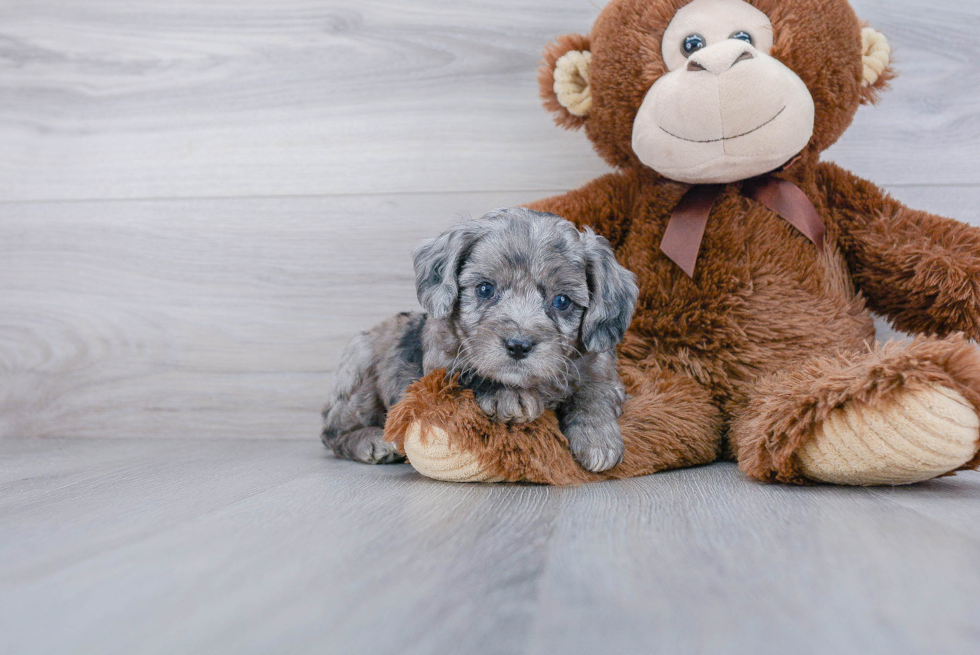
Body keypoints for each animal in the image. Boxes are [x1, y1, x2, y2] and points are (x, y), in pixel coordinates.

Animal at [322, 209, 640, 472]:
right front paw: (506, 395)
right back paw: (372, 442)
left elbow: (593, 393)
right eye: (485, 289)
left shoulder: (603, 371)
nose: (518, 345)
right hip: (360, 370)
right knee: (332, 431)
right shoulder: (439, 369)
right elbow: (468, 373)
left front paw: (598, 437)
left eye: (562, 301)